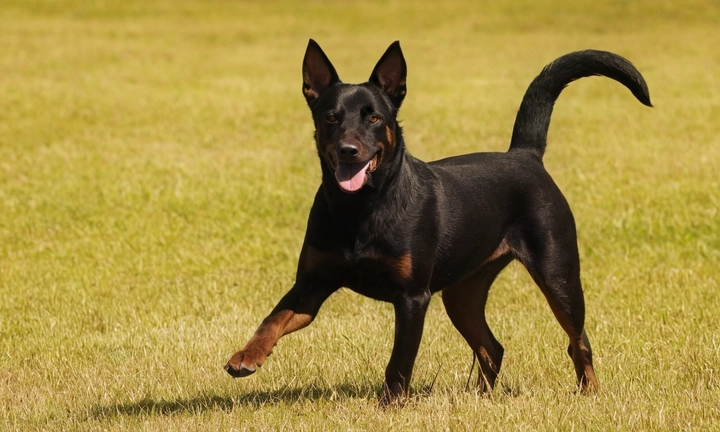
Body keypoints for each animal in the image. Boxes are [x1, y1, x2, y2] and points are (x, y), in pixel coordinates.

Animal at [226, 38, 652, 404]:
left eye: (374, 117)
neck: (361, 208)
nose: (348, 150)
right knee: (492, 346)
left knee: (578, 341)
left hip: (558, 274)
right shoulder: (311, 286)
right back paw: (481, 399)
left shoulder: (413, 298)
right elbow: (273, 319)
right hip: (463, 291)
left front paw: (390, 406)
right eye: (330, 117)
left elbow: (400, 361)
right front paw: (246, 356)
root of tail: (526, 155)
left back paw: (589, 392)